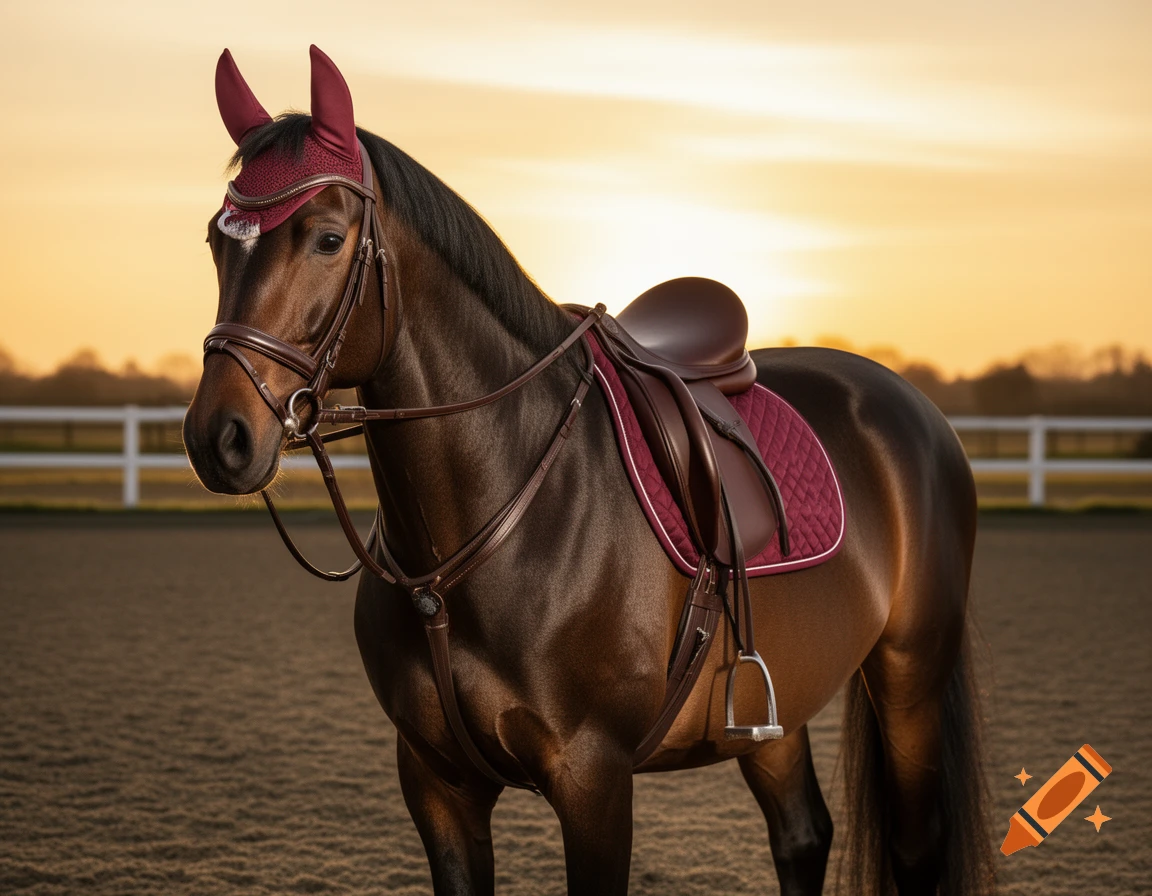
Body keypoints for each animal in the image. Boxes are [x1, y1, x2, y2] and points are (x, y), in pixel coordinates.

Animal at [183, 46, 994, 895]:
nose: (218, 436)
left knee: (914, 848)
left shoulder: (593, 779)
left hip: (911, 676)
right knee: (802, 835)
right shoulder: (436, 784)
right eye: (216, 239)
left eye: (328, 238)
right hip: (775, 706)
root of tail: (909, 402)